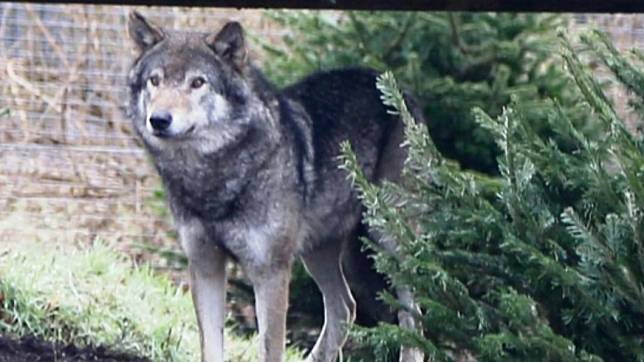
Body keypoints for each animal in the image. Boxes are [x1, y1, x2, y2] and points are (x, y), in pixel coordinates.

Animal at [128, 11, 426, 362]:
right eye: (155, 80)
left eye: (197, 82)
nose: (159, 119)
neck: (216, 177)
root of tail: (404, 92)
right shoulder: (205, 265)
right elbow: (211, 347)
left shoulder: (270, 272)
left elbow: (271, 347)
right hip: (321, 252)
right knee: (345, 307)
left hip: (387, 239)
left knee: (413, 312)